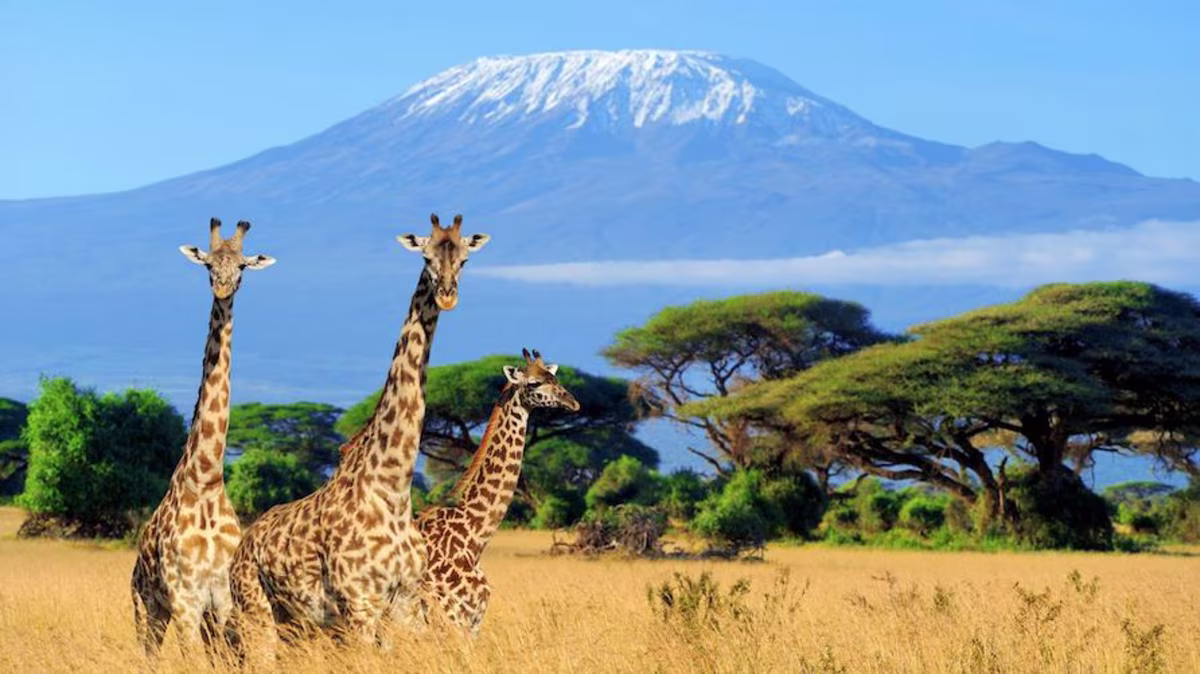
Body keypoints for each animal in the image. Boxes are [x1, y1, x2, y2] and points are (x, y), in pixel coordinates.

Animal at [130, 218, 275, 660]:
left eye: (242, 266)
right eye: (209, 264)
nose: (223, 289)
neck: (207, 479)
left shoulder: (222, 600)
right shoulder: (185, 601)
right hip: (146, 607)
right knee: (146, 655)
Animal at [228, 213, 489, 659]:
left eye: (465, 259)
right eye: (426, 256)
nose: (448, 296)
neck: (392, 489)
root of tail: (241, 548)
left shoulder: (404, 603)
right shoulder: (360, 605)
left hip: (294, 621)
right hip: (256, 609)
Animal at [416, 348, 580, 635]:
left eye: (555, 378)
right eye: (534, 383)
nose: (573, 403)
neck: (473, 537)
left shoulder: (472, 620)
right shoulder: (455, 616)